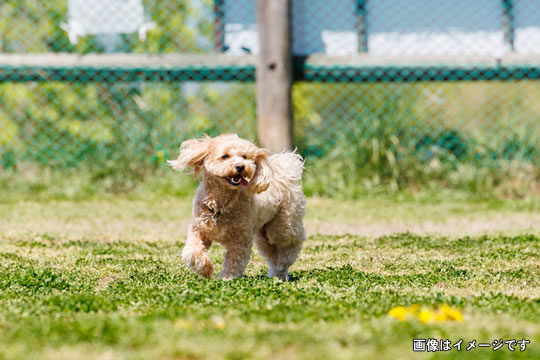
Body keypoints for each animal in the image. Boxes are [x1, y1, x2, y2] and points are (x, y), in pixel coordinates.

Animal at [167, 134, 306, 280]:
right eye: (225, 156)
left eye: (245, 157)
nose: (240, 166)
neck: (221, 204)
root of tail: (284, 176)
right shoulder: (199, 231)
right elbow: (191, 253)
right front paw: (206, 270)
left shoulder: (240, 239)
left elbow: (235, 260)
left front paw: (228, 277)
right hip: (262, 235)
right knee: (272, 253)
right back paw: (277, 274)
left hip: (283, 226)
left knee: (292, 242)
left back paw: (284, 263)